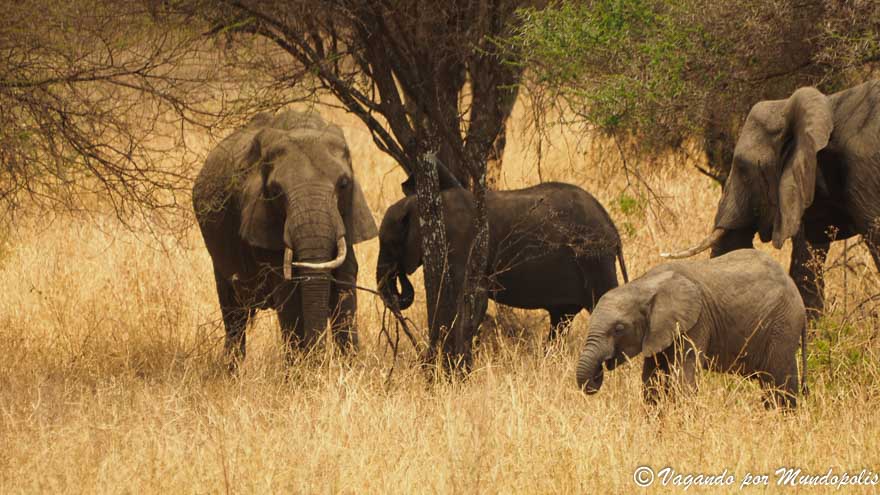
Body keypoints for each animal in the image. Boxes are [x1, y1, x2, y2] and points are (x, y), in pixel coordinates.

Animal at [192, 110, 378, 366]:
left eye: (343, 184)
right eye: (276, 191)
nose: (320, 361)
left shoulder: (346, 219)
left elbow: (345, 280)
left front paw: (348, 367)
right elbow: (286, 290)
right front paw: (301, 370)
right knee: (233, 312)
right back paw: (232, 369)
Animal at [376, 179, 628, 346]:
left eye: (390, 243)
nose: (398, 274)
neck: (417, 204)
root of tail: (613, 229)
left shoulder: (461, 244)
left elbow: (470, 299)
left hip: (595, 259)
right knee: (561, 319)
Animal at [576, 249, 807, 409]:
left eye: (618, 328)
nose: (597, 375)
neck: (645, 284)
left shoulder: (696, 323)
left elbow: (683, 381)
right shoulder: (657, 332)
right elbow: (652, 382)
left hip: (782, 326)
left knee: (779, 384)